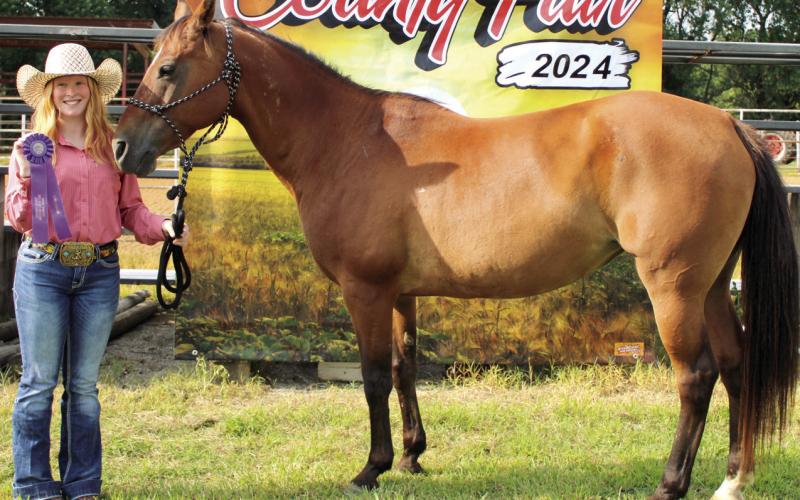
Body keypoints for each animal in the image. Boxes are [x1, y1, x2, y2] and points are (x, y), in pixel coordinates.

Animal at [113, 1, 798, 497]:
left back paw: (670, 483)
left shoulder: (365, 290)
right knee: (735, 364)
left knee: (697, 375)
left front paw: (371, 467)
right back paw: (733, 478)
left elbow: (371, 377)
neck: (349, 140)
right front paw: (412, 457)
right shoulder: (399, 292)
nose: (123, 148)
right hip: (712, 284)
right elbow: (404, 367)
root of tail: (728, 125)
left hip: (673, 286)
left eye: (168, 68)